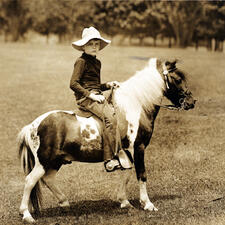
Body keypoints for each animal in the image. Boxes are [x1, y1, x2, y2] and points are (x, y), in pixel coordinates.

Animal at [17, 58, 195, 223]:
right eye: (177, 79)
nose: (191, 102)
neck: (135, 107)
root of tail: (32, 126)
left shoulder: (126, 152)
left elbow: (126, 173)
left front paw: (124, 201)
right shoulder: (138, 148)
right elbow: (141, 174)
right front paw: (148, 204)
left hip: (56, 161)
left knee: (48, 179)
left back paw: (64, 203)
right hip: (44, 161)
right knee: (30, 180)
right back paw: (26, 214)